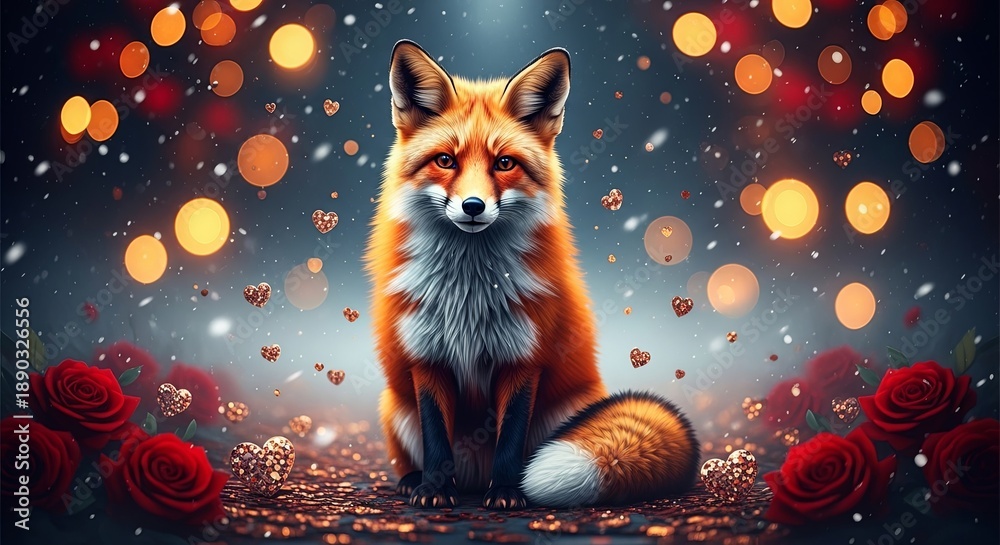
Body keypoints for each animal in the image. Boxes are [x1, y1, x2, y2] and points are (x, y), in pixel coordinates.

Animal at [364, 40, 699, 509]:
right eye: (445, 160)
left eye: (504, 163)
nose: (472, 206)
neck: (468, 296)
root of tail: (474, 475)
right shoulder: (426, 358)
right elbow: (436, 437)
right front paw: (434, 490)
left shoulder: (523, 358)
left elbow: (510, 437)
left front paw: (506, 492)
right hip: (394, 406)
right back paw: (415, 480)